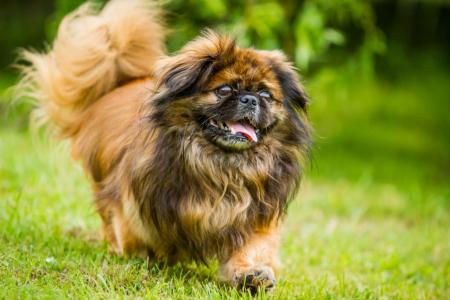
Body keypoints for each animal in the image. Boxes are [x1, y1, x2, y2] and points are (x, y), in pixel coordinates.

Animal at [18, 0, 310, 292]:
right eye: (225, 90)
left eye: (265, 94)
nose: (250, 99)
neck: (221, 169)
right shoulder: (135, 209)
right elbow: (136, 241)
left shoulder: (256, 217)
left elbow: (250, 250)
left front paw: (251, 275)